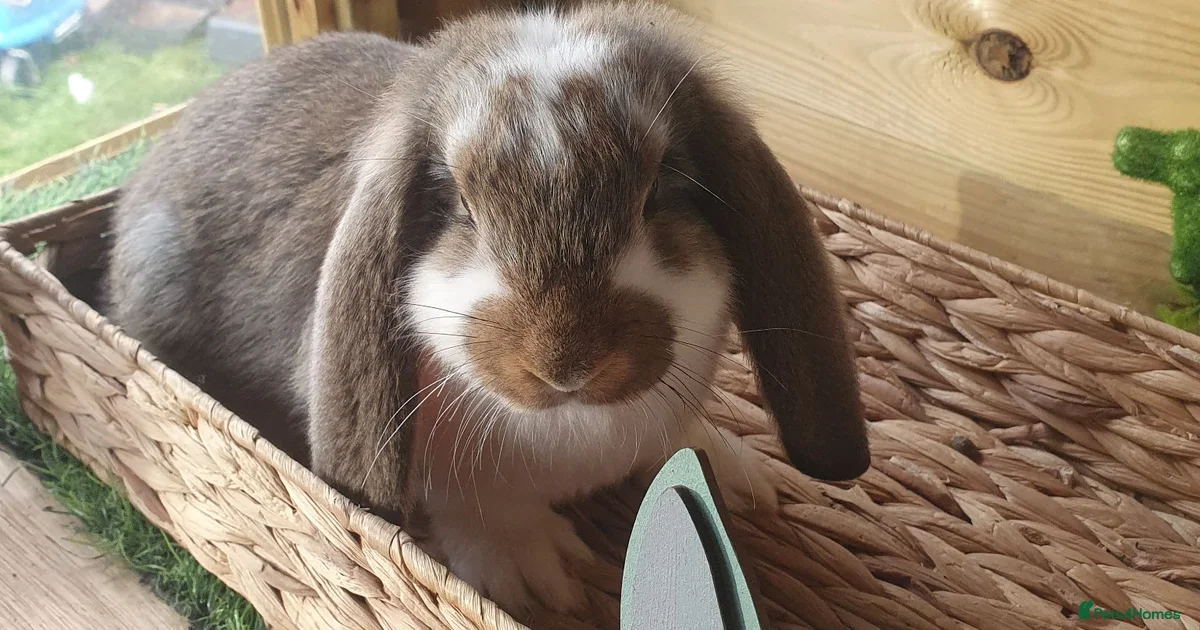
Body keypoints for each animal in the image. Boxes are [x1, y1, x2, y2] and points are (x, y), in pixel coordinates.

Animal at [104, 0, 870, 618]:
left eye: (662, 186)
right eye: (458, 205)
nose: (567, 364)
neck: (574, 427)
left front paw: (735, 474)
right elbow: (481, 511)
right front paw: (541, 574)